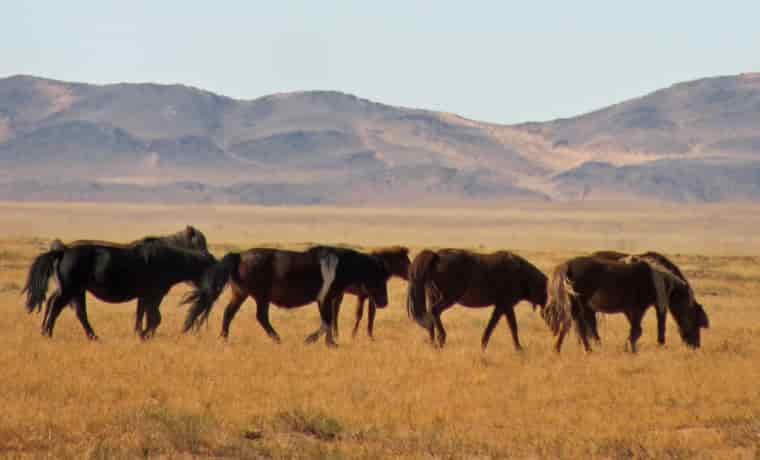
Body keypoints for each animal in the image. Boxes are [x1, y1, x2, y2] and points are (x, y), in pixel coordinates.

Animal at [23, 226, 214, 340]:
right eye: (199, 243)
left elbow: (141, 315)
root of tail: (62, 250)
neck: (168, 255)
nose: (209, 256)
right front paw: (145, 335)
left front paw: (140, 333)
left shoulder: (144, 296)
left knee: (71, 310)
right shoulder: (154, 295)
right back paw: (48, 333)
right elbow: (154, 317)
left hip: (75, 290)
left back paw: (91, 336)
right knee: (57, 306)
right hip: (70, 289)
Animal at [181, 245, 391, 347]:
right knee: (259, 317)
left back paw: (224, 338)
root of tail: (239, 256)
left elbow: (328, 322)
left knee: (229, 313)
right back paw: (277, 339)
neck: (340, 265)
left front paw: (330, 343)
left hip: (241, 294)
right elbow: (326, 322)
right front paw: (312, 340)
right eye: (379, 277)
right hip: (260, 296)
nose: (384, 303)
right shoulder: (324, 299)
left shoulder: (327, 300)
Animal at [406, 249, 548, 350]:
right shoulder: (506, 305)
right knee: (434, 311)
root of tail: (436, 256)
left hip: (433, 296)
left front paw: (483, 345)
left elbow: (492, 325)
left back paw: (433, 343)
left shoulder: (501, 306)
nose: (547, 308)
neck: (521, 274)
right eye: (545, 291)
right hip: (449, 297)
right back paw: (441, 339)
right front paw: (519, 349)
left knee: (430, 317)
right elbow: (512, 326)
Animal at [542, 256, 705, 353]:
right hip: (580, 303)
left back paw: (559, 349)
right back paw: (587, 349)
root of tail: (566, 266)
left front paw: (631, 348)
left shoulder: (631, 310)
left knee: (570, 324)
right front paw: (629, 347)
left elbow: (636, 330)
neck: (655, 280)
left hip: (575, 304)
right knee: (579, 325)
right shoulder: (639, 308)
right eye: (695, 319)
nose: (696, 346)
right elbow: (637, 330)